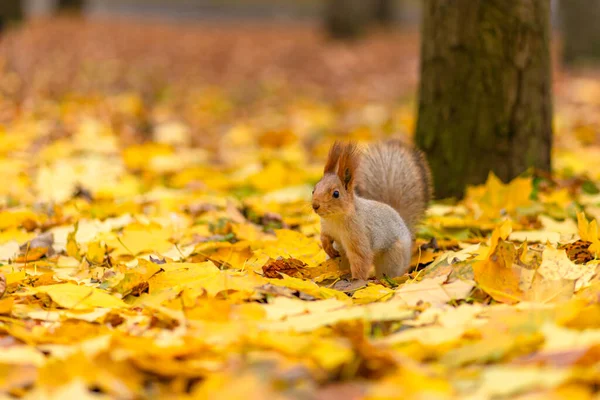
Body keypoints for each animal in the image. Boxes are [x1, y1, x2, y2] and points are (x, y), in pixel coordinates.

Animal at [312, 141, 434, 282]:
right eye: (314, 190)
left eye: (336, 194)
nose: (315, 205)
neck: (335, 218)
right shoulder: (327, 227)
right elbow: (324, 237)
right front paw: (327, 248)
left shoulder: (358, 235)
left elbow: (361, 259)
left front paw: (357, 280)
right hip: (342, 253)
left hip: (392, 257)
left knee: (389, 272)